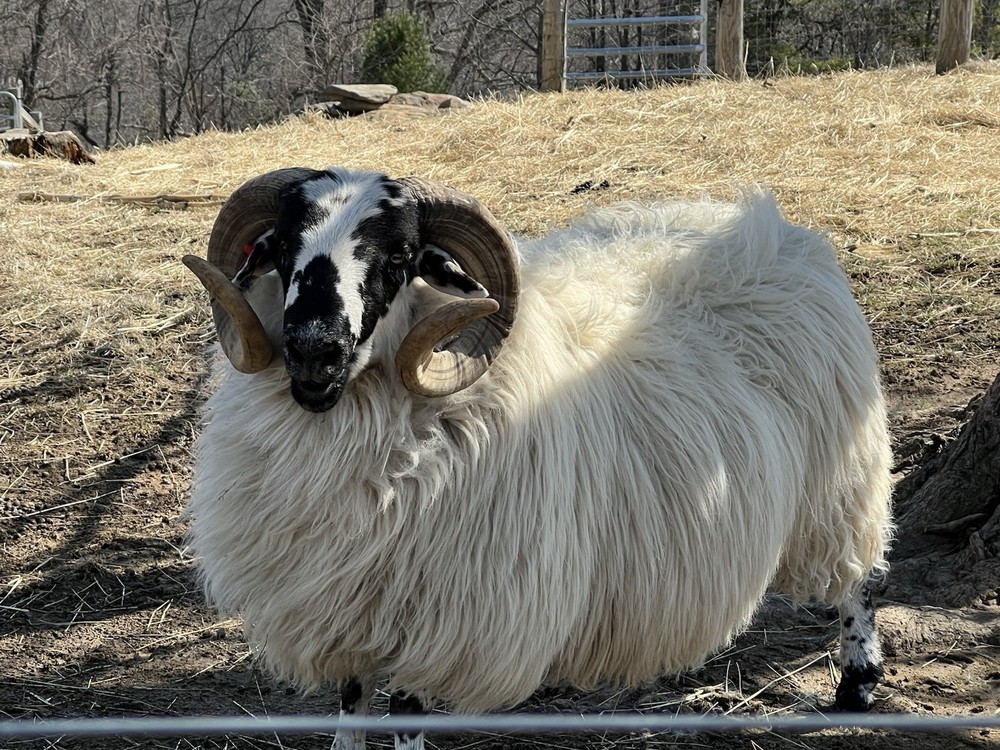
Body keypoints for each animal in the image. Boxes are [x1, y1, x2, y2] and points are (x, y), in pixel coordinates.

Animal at [183, 166, 894, 750]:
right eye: (280, 246)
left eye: (401, 257)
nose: (313, 350)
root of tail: (767, 225)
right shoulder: (350, 606)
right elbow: (350, 706)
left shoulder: (435, 616)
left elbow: (405, 713)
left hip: (837, 484)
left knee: (857, 577)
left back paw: (857, 683)